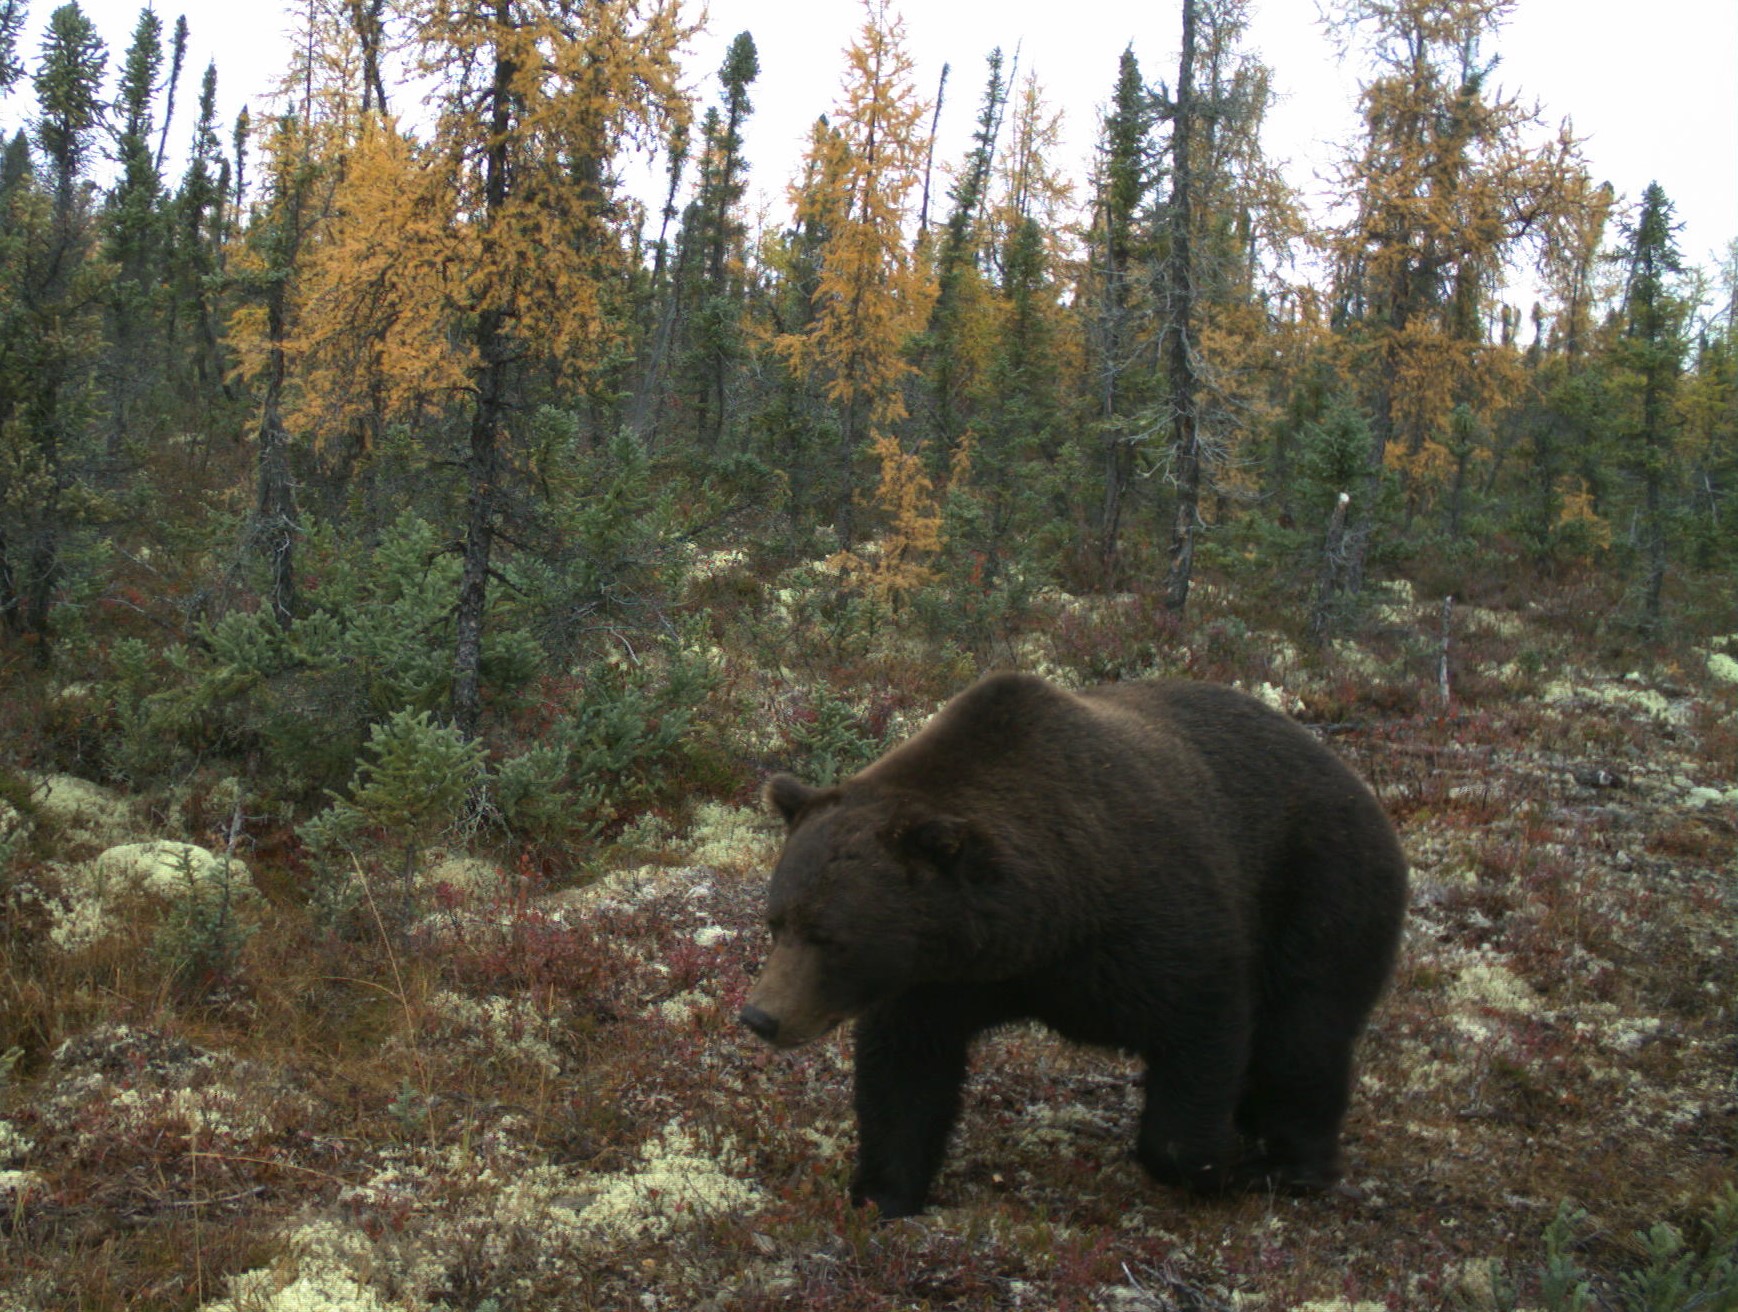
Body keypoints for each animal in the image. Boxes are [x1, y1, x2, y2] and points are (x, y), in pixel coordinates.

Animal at [740, 677, 1404, 1223]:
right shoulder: (941, 978)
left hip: (1324, 888)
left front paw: (1212, 1167)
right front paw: (882, 1194)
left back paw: (1290, 1164)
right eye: (777, 921)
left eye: (831, 937)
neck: (1047, 922)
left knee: (1304, 1033)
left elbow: (1202, 1028)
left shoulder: (1157, 925)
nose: (760, 1016)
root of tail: (1355, 781)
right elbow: (905, 1070)